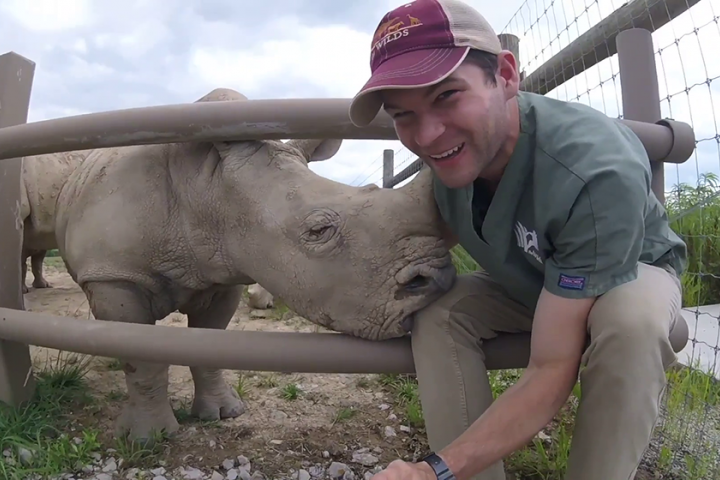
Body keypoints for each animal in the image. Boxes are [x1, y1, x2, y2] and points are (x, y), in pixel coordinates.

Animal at [53, 87, 457, 443]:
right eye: (318, 230)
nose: (436, 280)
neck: (206, 184)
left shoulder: (222, 268)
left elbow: (209, 342)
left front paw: (223, 413)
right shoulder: (114, 274)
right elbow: (141, 356)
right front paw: (148, 439)